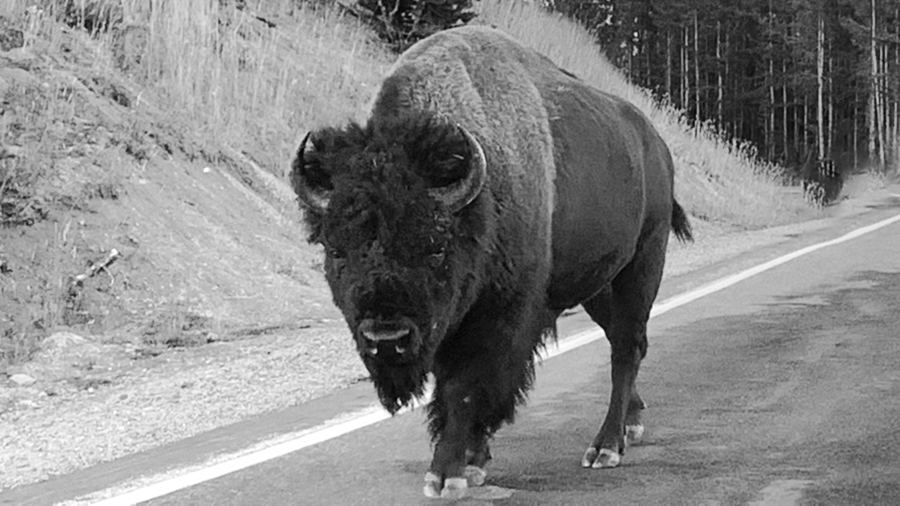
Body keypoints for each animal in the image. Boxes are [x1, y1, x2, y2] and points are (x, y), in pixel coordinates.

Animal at [291, 25, 692, 499]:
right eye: (336, 250)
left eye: (435, 246)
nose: (386, 338)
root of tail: (656, 145)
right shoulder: (445, 324)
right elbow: (451, 390)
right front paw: (471, 458)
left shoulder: (495, 319)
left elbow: (464, 388)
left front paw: (447, 474)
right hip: (597, 284)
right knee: (621, 339)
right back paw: (631, 423)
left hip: (643, 262)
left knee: (627, 347)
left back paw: (606, 447)